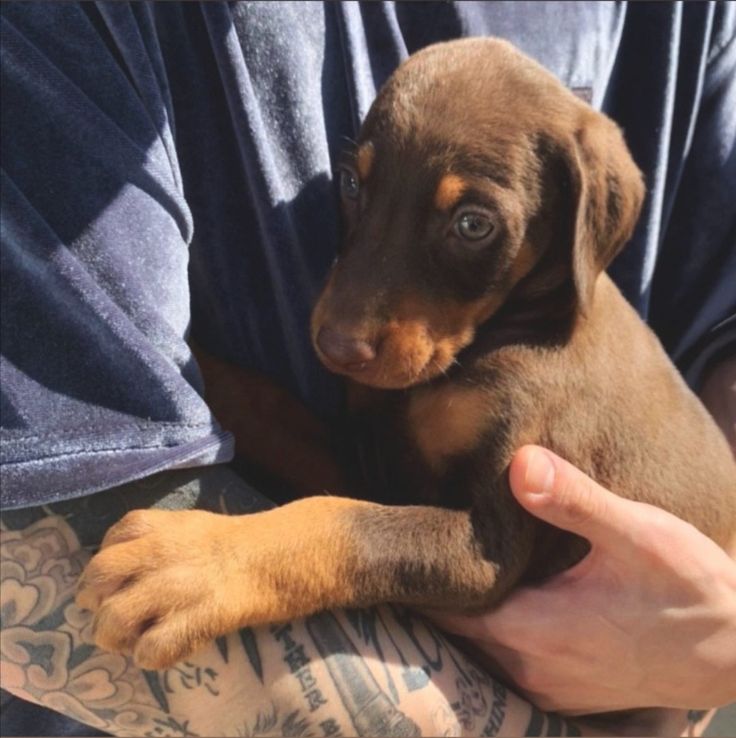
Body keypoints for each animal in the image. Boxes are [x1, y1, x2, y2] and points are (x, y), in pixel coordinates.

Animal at [76, 40, 736, 672]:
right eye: (351, 184)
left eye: (472, 224)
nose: (336, 346)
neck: (495, 337)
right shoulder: (369, 458)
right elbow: (275, 412)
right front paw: (195, 373)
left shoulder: (490, 544)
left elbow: (343, 522)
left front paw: (192, 564)